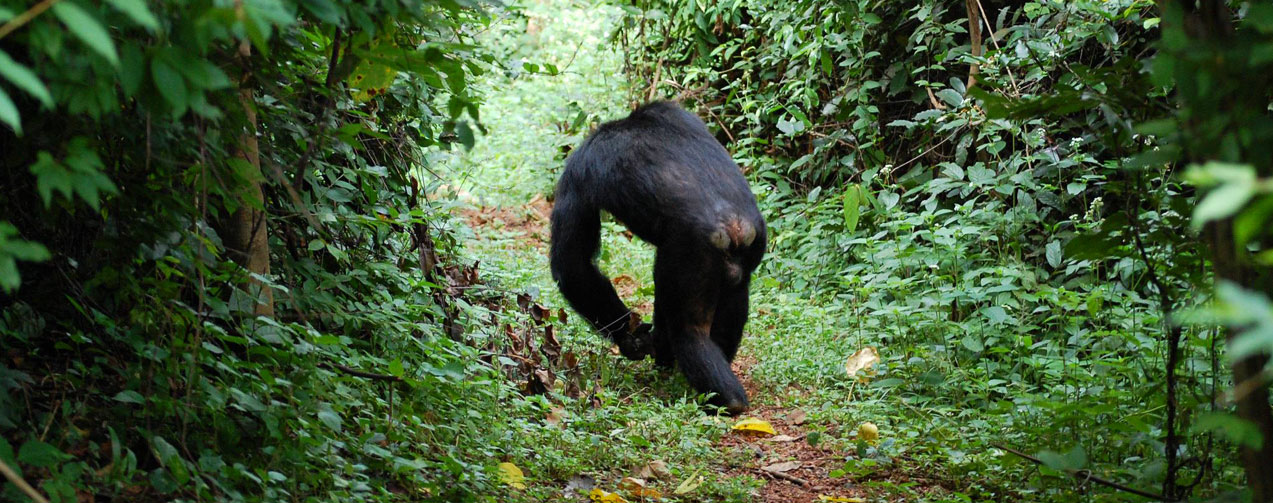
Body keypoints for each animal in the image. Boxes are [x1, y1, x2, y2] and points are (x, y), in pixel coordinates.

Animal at [547, 100, 763, 415]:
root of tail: (733, 226)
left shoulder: (577, 171)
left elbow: (573, 264)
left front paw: (631, 338)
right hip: (750, 247)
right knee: (734, 297)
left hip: (692, 255)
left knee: (687, 327)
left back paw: (724, 398)